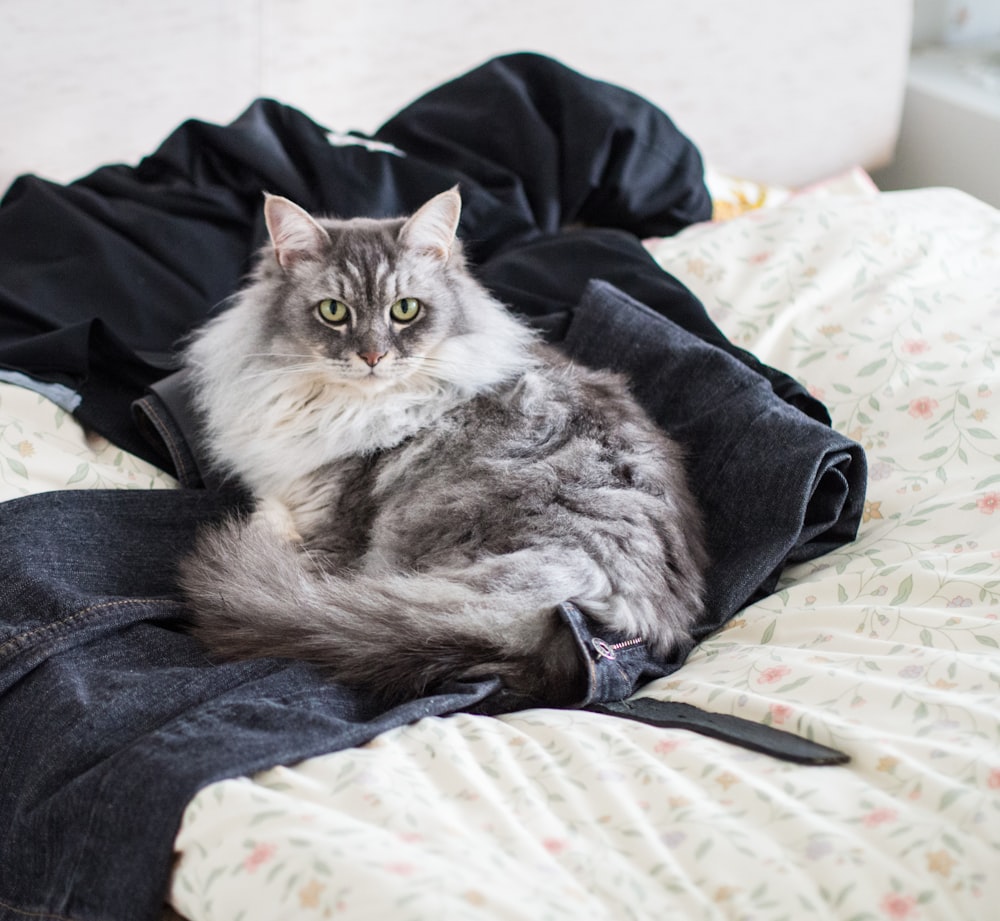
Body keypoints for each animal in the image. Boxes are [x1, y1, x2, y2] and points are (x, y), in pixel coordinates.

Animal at [182, 187, 712, 704]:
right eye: (334, 312)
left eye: (405, 310)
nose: (372, 357)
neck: (342, 403)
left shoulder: (330, 528)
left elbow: (285, 528)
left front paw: (266, 523)